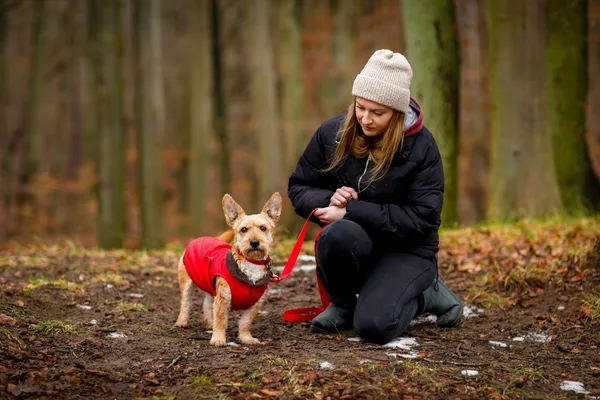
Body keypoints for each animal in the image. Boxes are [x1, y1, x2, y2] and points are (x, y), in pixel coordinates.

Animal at [175, 192, 282, 346]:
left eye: (263, 228)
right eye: (244, 229)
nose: (254, 242)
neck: (251, 265)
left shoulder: (255, 304)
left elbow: (245, 323)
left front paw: (246, 338)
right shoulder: (223, 298)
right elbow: (220, 321)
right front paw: (218, 339)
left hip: (210, 286)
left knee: (207, 303)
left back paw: (209, 323)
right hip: (186, 282)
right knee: (185, 302)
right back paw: (182, 321)